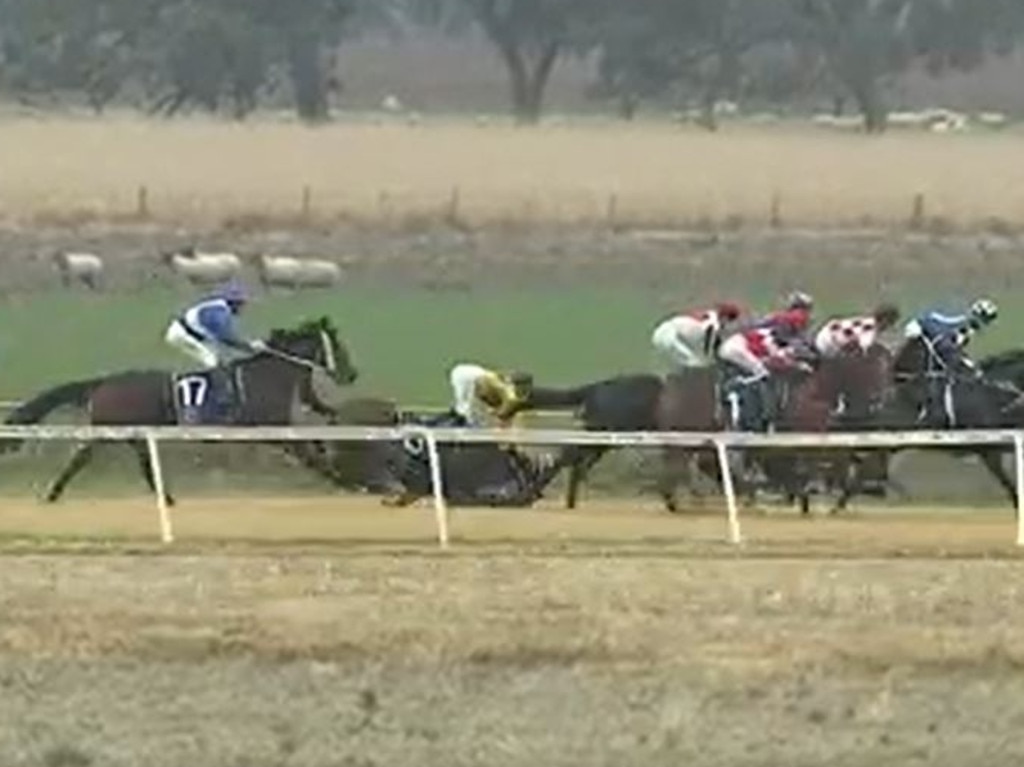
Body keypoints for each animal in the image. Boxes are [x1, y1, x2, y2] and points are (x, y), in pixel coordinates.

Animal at [3, 315, 356, 501]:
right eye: (338, 346)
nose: (351, 374)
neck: (268, 376)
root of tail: (103, 382)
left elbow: (315, 446)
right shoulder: (275, 432)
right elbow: (312, 458)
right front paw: (348, 481)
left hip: (135, 433)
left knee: (143, 464)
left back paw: (167, 498)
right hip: (107, 430)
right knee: (81, 457)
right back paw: (53, 493)